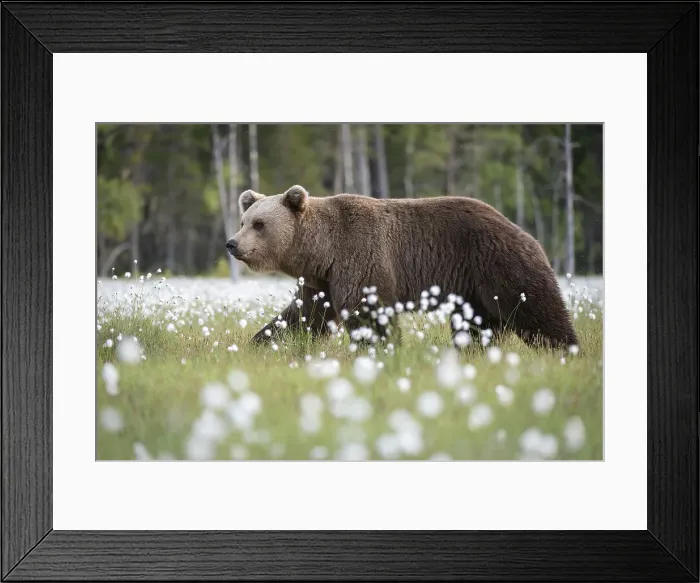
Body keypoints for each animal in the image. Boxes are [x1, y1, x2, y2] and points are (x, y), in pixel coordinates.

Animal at [226, 185, 578, 350]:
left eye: (259, 224)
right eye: (244, 221)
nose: (232, 243)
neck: (321, 251)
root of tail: (524, 232)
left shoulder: (360, 253)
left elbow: (368, 311)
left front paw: (378, 350)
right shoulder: (321, 282)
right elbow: (302, 316)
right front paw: (260, 344)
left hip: (498, 264)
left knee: (537, 309)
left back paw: (565, 348)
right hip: (472, 291)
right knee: (476, 326)